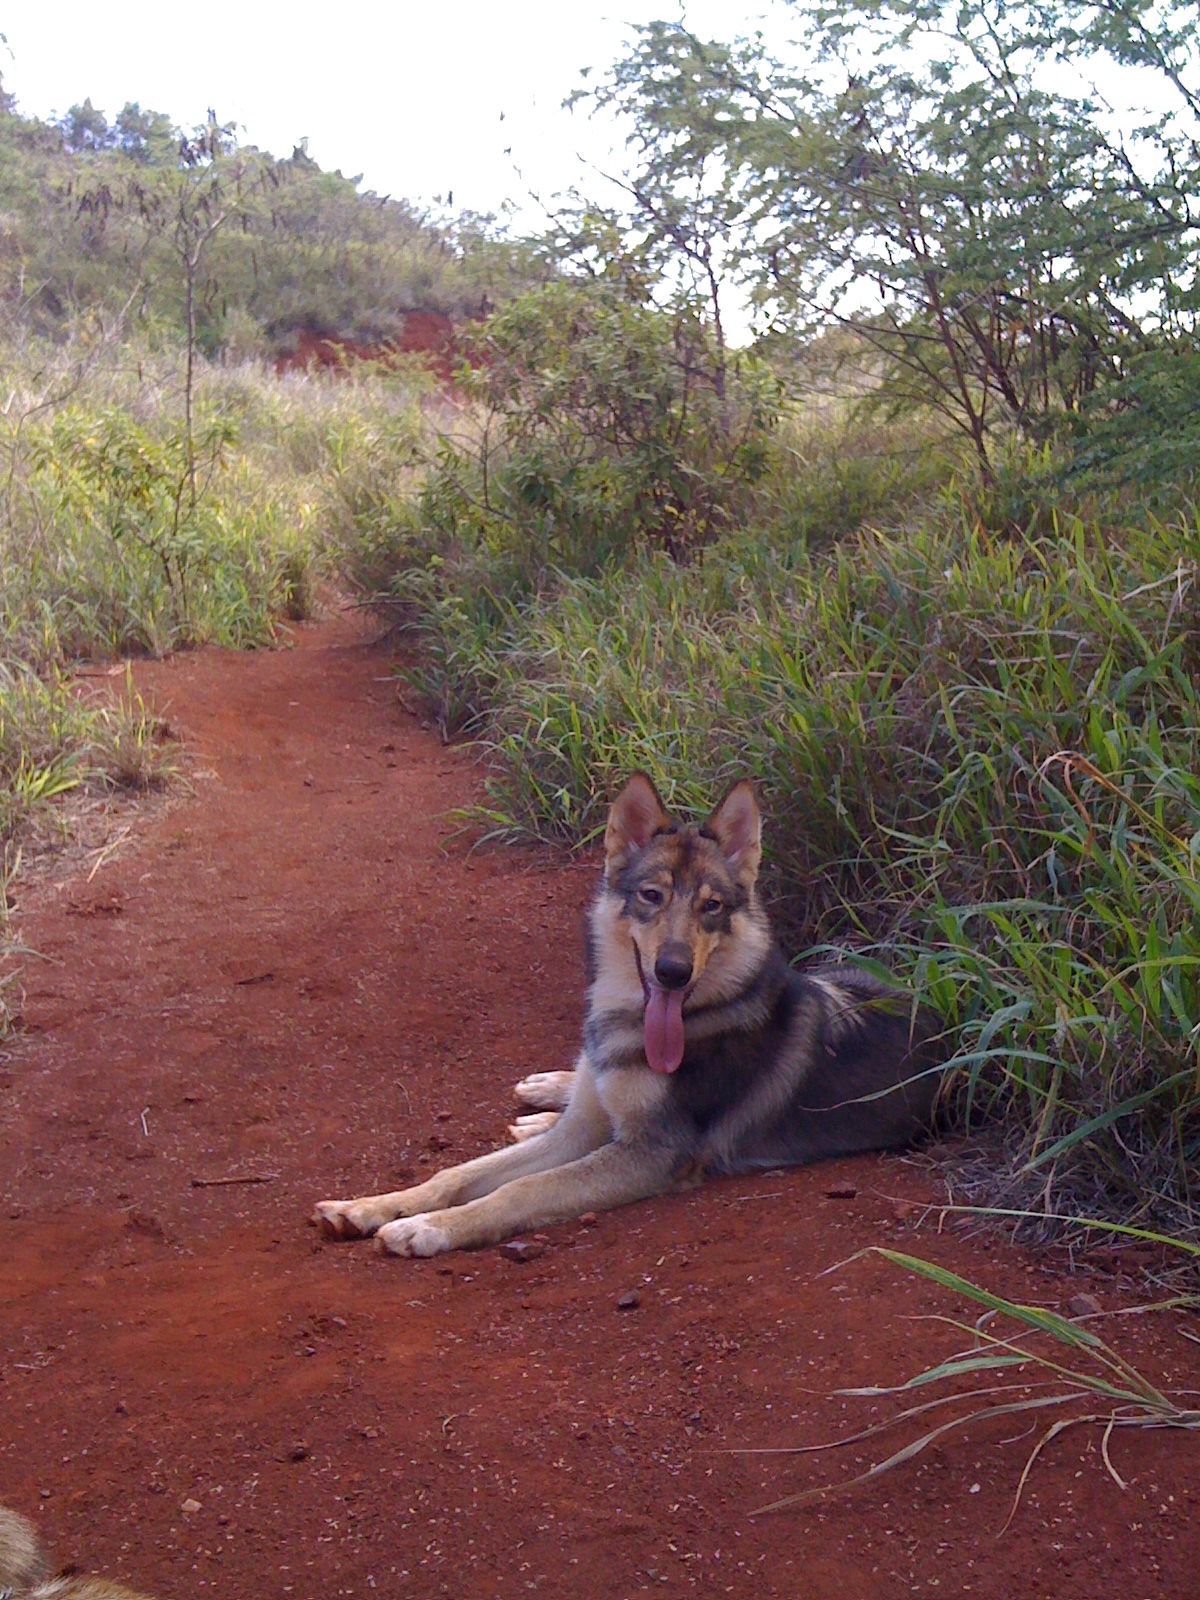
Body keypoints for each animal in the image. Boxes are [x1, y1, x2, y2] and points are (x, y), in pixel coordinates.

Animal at [315, 768, 947, 1254]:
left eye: (712, 907)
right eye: (651, 896)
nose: (672, 972)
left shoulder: (652, 1154)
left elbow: (518, 1191)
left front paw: (425, 1229)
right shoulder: (584, 1133)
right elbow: (458, 1172)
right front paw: (371, 1206)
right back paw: (543, 1094)